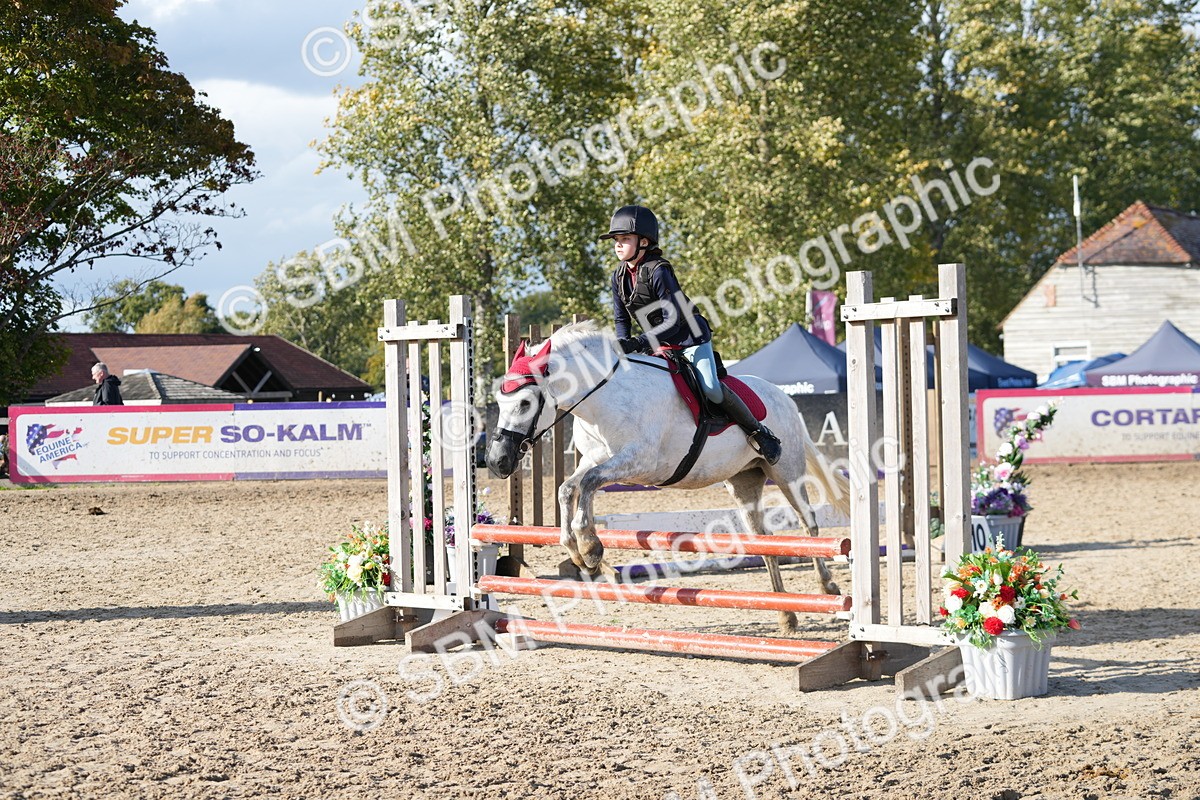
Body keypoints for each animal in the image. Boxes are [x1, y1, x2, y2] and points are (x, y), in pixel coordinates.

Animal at [485, 321, 851, 633]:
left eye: (524, 402)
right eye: (500, 400)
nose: (496, 462)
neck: (603, 398)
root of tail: (783, 396)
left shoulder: (638, 462)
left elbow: (588, 484)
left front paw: (590, 548)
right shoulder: (594, 458)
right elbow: (567, 488)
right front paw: (577, 553)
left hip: (786, 473)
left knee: (809, 524)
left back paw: (828, 587)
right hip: (745, 483)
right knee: (764, 543)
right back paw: (786, 615)